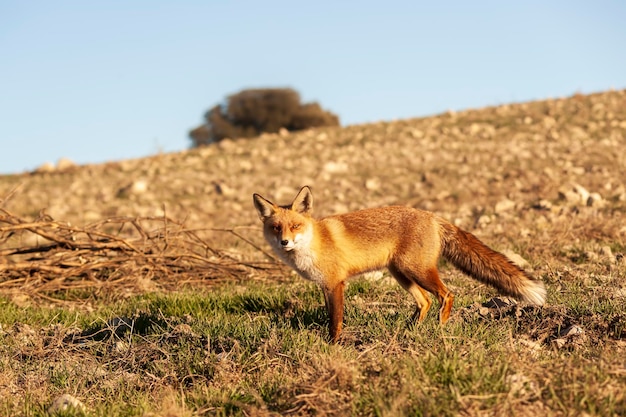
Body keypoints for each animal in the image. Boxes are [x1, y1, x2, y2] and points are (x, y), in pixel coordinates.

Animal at [251, 185, 544, 342]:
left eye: (295, 226)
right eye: (276, 228)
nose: (284, 243)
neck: (313, 244)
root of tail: (432, 215)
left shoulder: (336, 284)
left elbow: (335, 320)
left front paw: (332, 344)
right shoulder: (325, 286)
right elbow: (328, 315)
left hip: (417, 270)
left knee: (447, 294)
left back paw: (440, 328)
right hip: (401, 273)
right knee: (425, 301)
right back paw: (411, 329)